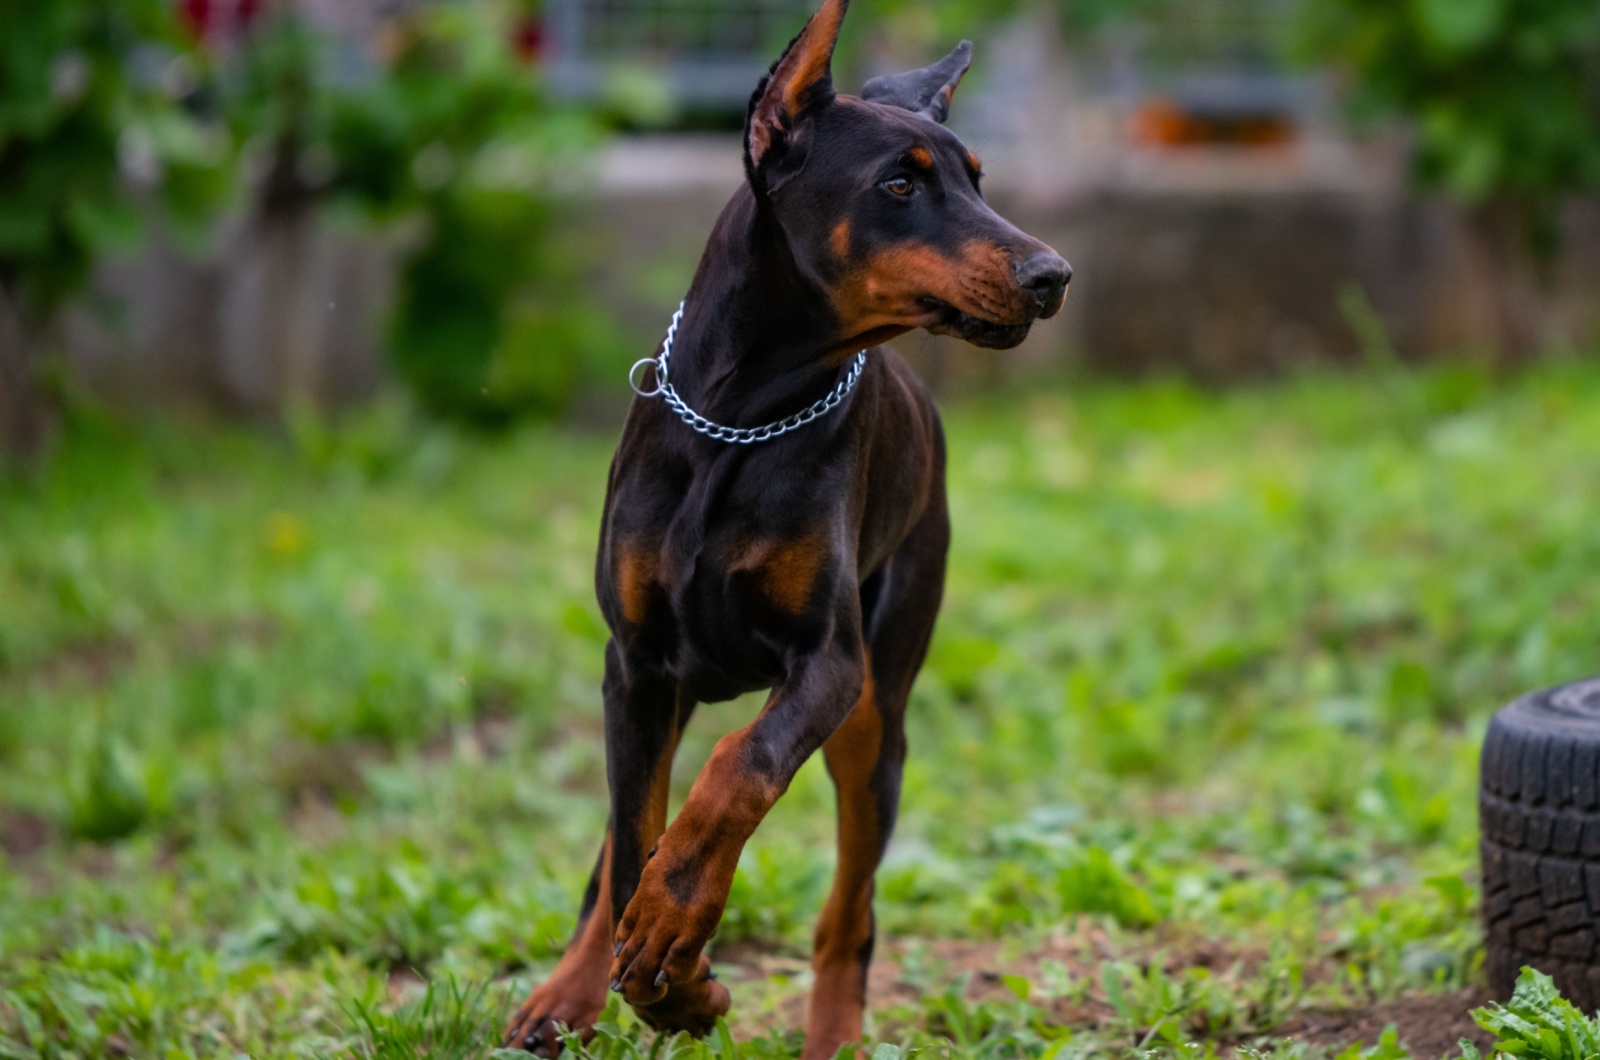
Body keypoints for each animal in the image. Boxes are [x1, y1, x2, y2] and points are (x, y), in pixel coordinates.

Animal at [505, 4, 1068, 1056]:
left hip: (877, 714)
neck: (746, 416)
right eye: (899, 183)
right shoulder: (634, 663)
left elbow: (739, 771)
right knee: (617, 846)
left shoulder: (828, 663)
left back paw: (833, 1033)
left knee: (851, 906)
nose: (1053, 274)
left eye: (977, 176)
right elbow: (633, 841)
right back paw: (568, 990)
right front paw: (665, 986)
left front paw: (678, 966)